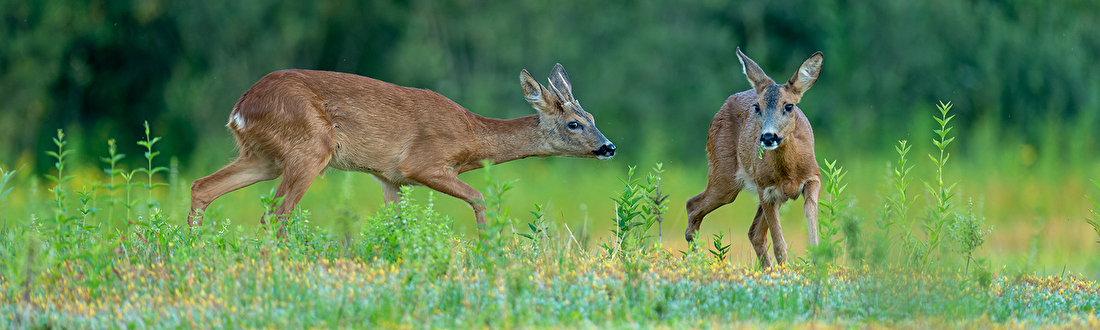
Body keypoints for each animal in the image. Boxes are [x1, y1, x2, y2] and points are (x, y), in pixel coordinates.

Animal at [191, 64, 620, 229]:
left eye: (593, 116)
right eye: (574, 123)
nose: (609, 147)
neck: (471, 135)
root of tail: (239, 108)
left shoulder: (389, 178)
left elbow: (396, 222)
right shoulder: (422, 163)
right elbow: (480, 196)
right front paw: (490, 245)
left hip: (264, 157)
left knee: (201, 187)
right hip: (310, 148)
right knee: (275, 215)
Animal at [682, 47, 822, 268]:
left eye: (789, 106)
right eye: (757, 107)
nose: (768, 137)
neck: (789, 173)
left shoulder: (813, 177)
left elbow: (811, 223)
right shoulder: (765, 189)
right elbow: (780, 246)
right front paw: (786, 274)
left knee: (754, 233)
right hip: (724, 175)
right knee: (692, 206)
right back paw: (697, 263)